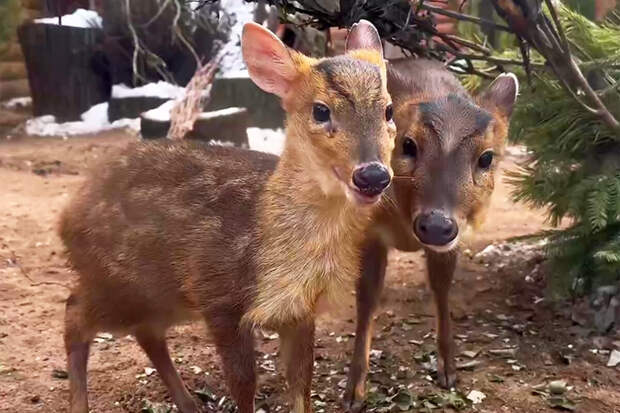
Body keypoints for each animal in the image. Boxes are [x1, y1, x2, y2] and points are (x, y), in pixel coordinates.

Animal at [60, 20, 394, 412]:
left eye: (388, 110)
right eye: (321, 111)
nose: (372, 175)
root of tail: (68, 214)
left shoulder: (298, 309)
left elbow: (301, 383)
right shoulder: (218, 294)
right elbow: (244, 384)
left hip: (160, 293)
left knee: (146, 333)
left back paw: (188, 403)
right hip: (120, 282)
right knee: (74, 314)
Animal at [344, 58, 520, 412]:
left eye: (486, 157)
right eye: (408, 144)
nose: (436, 225)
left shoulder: (455, 237)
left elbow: (441, 291)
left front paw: (448, 370)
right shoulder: (371, 233)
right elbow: (367, 298)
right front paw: (354, 390)